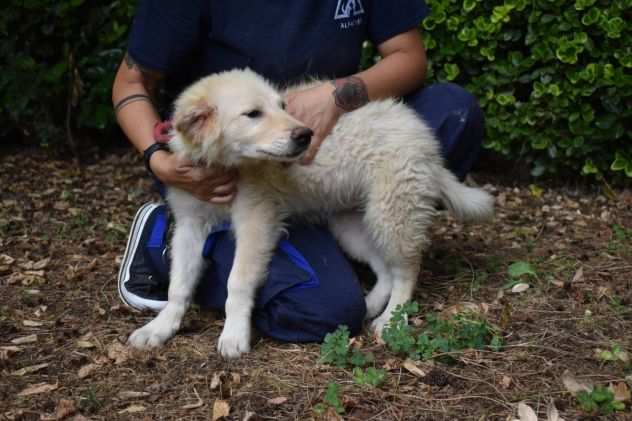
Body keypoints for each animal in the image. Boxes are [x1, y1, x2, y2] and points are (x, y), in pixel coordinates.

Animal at [128, 69, 494, 358]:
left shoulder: (255, 222)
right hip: (351, 225)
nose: (305, 135)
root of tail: (427, 144)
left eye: (282, 106)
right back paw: (370, 305)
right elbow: (178, 285)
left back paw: (392, 318)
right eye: (252, 114)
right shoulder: (190, 225)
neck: (225, 165)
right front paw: (160, 327)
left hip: (393, 210)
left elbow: (237, 282)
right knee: (384, 269)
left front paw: (233, 335)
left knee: (407, 269)